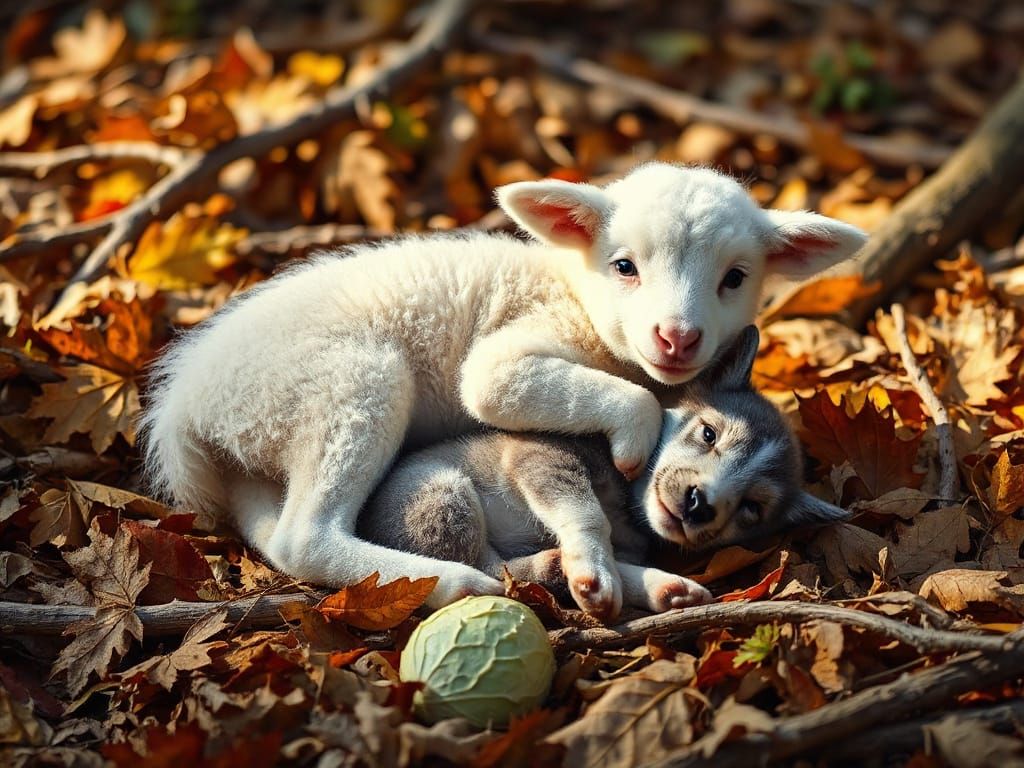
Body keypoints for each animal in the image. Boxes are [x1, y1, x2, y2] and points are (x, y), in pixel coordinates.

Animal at [361, 326, 848, 617]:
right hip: (443, 498)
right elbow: (587, 515)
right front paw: (592, 571)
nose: (698, 504)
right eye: (709, 434)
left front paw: (648, 583)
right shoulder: (542, 456)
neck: (627, 506)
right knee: (483, 567)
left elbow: (618, 558)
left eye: (752, 508)